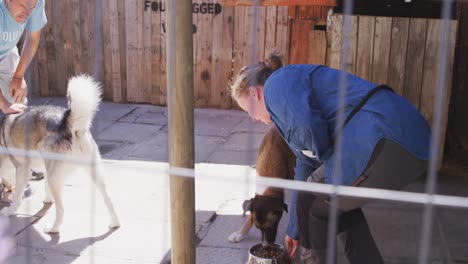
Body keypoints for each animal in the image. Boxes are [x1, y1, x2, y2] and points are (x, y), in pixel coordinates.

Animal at [0, 75, 120, 233]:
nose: (5, 188)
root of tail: (67, 123)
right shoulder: (44, 167)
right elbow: (44, 186)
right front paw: (47, 199)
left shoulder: (22, 169)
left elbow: (17, 196)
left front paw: (10, 211)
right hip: (95, 173)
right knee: (109, 199)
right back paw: (115, 223)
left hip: (55, 178)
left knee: (61, 210)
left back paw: (53, 228)